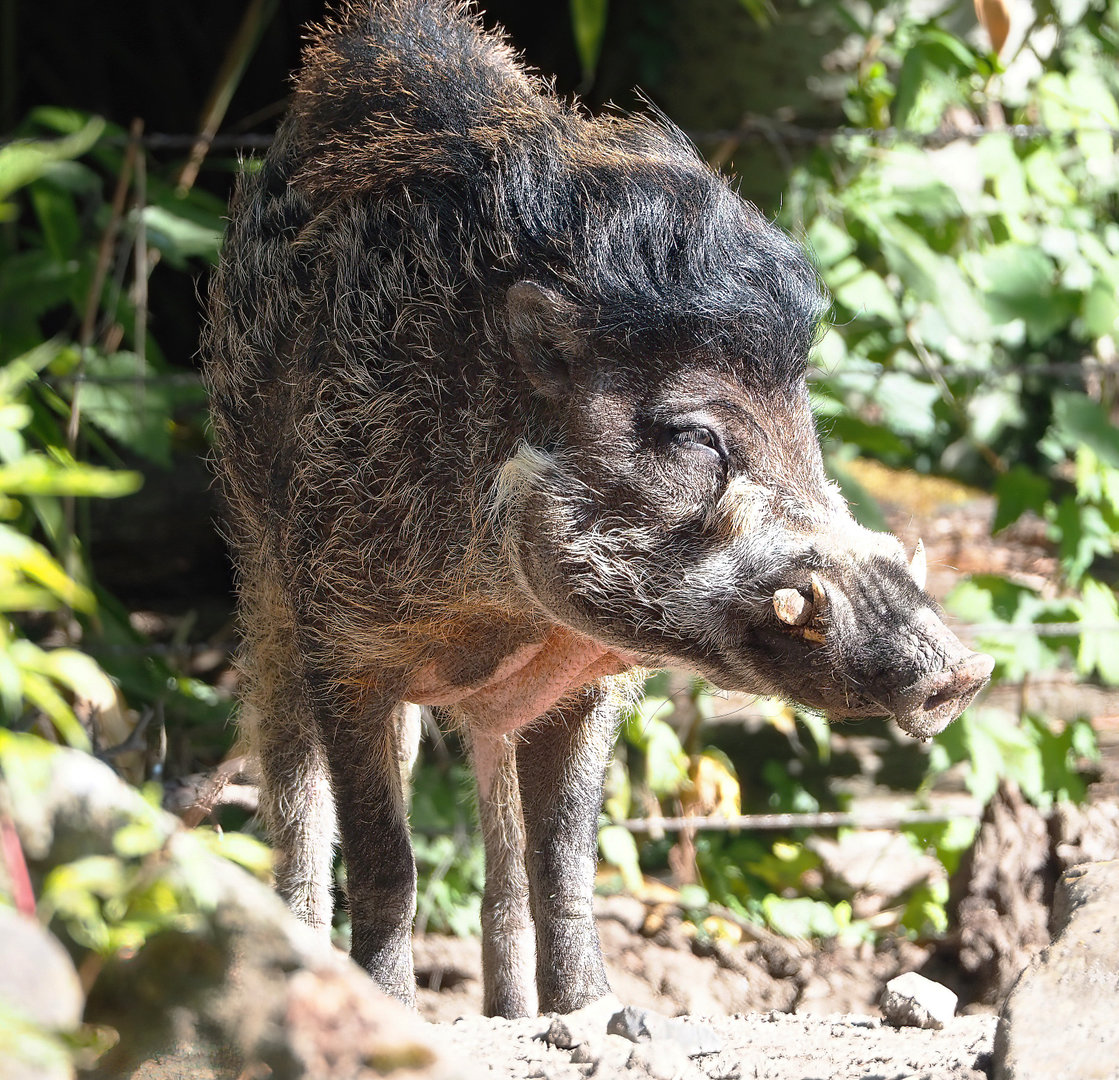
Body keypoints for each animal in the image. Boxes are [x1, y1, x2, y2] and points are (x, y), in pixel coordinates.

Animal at [203, 0, 993, 1018]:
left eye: (807, 428)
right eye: (695, 437)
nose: (960, 672)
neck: (502, 606)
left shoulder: (586, 685)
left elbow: (564, 855)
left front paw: (601, 1014)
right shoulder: (347, 647)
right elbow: (387, 858)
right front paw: (394, 1013)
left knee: (498, 836)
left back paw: (511, 1014)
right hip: (261, 576)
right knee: (293, 790)